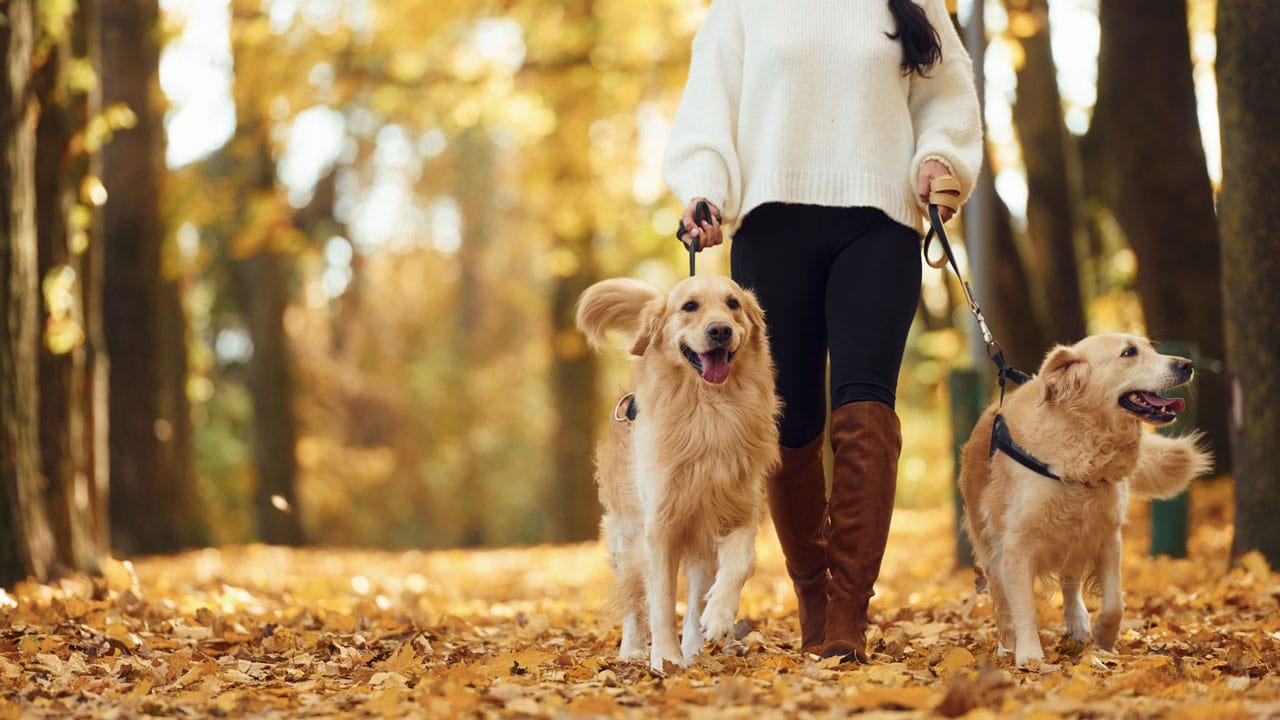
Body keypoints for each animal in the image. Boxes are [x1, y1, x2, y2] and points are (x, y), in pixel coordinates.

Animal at [573, 272, 773, 666]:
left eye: (733, 304)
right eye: (689, 306)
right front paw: (665, 660)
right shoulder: (660, 526)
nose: (720, 330)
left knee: (694, 599)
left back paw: (695, 649)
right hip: (625, 535)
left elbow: (739, 564)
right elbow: (661, 601)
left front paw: (718, 617)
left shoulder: (737, 512)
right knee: (633, 597)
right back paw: (633, 649)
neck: (710, 413)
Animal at [962, 333, 1208, 666]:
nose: (1187, 365)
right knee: (1002, 599)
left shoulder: (1107, 536)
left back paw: (1078, 623)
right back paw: (1006, 645)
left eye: (1151, 347)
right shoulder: (1016, 546)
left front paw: (1104, 639)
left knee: (1070, 582)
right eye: (1129, 352)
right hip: (989, 545)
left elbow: (1115, 602)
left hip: (1075, 538)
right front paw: (1029, 656)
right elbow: (1022, 606)